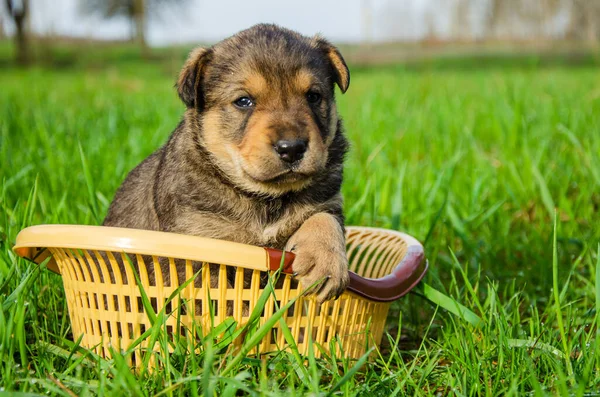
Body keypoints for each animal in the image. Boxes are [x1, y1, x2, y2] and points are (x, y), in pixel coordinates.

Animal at [103, 24, 352, 300]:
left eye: (313, 96)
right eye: (243, 101)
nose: (292, 148)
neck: (264, 198)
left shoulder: (328, 202)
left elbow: (324, 220)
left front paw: (325, 265)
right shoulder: (198, 240)